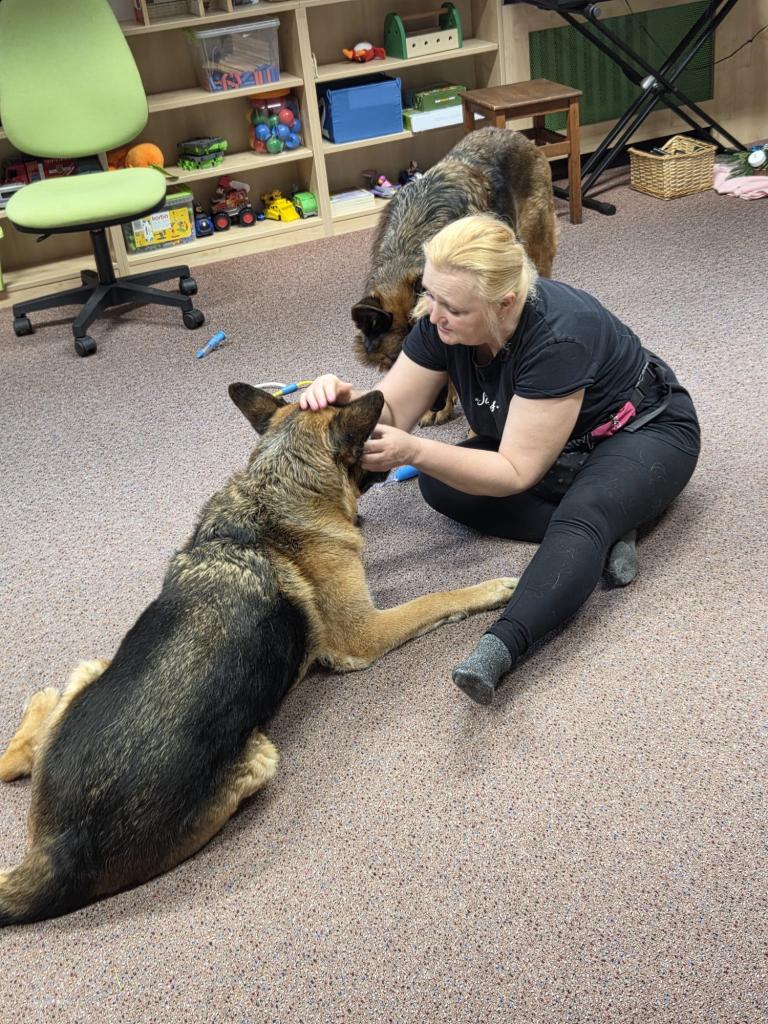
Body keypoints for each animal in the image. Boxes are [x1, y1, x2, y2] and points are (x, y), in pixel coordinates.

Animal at [0, 385, 516, 925]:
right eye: (369, 437)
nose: (393, 443)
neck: (275, 488)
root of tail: (60, 850)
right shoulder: (364, 634)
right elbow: (436, 598)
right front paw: (490, 588)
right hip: (260, 754)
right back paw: (41, 700)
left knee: (12, 761)